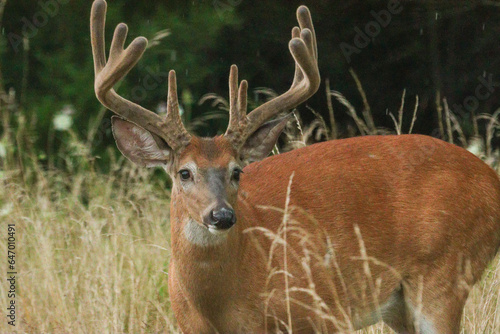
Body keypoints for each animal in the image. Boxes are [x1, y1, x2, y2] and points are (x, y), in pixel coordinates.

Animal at [91, 1, 500, 332]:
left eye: (237, 170)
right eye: (184, 173)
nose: (221, 216)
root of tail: (491, 178)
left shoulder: (321, 310)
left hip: (444, 271)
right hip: (403, 305)